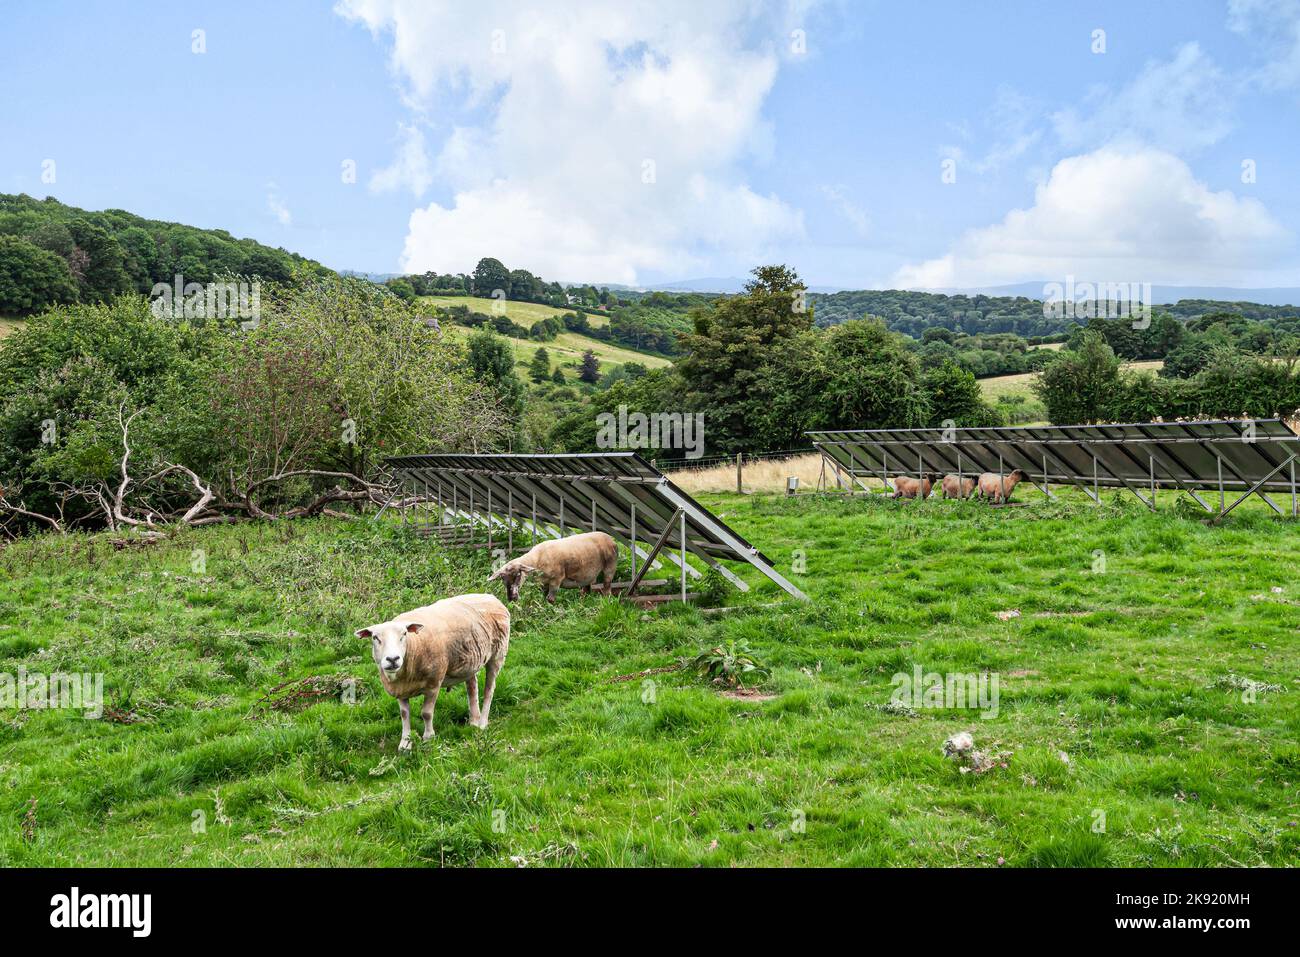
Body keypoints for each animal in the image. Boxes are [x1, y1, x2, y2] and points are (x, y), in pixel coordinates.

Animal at [361, 595, 517, 748]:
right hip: (470, 660)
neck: (413, 645)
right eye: (375, 637)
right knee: (472, 688)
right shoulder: (401, 689)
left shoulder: (433, 683)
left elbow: (426, 713)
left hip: (498, 654)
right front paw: (405, 743)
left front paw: (428, 738)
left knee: (489, 690)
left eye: (404, 634)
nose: (393, 659)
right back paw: (474, 722)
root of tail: (491, 597)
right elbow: (404, 714)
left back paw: (483, 723)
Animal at [488, 527, 618, 600]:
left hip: (610, 566)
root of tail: (611, 539)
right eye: (503, 579)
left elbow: (550, 599)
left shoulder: (557, 580)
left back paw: (607, 602)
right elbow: (542, 598)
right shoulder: (543, 583)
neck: (537, 559)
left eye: (518, 575)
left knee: (607, 588)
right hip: (586, 574)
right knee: (585, 591)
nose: (511, 598)